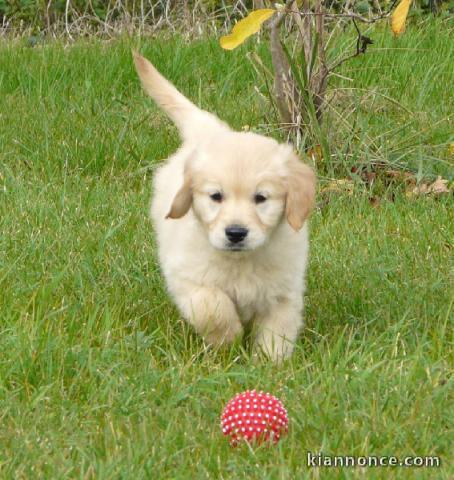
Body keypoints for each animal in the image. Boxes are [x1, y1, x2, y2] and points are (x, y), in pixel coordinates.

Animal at [133, 53, 314, 360]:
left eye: (261, 198)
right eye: (216, 196)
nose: (236, 233)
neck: (240, 261)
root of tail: (211, 133)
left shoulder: (284, 292)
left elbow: (277, 330)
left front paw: (269, 363)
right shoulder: (190, 280)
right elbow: (214, 307)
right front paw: (228, 343)